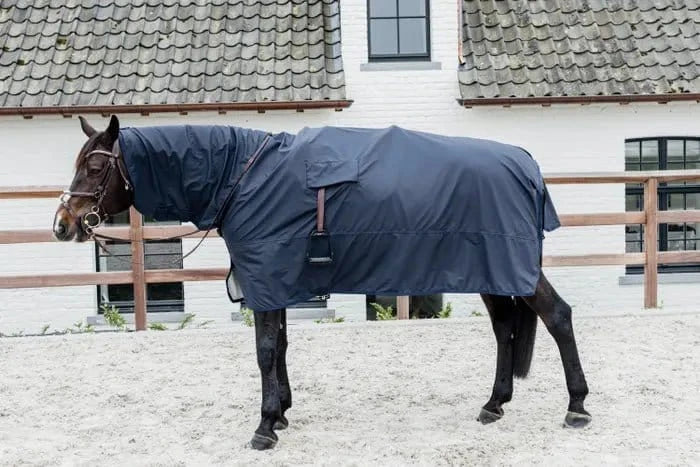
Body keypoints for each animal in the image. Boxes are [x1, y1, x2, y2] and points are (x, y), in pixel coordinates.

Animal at [53, 115, 591, 450]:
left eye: (95, 166)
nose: (62, 224)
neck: (241, 177)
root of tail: (526, 163)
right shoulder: (274, 281)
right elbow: (281, 347)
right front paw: (282, 412)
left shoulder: (266, 278)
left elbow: (265, 350)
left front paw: (265, 426)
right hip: (494, 272)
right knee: (505, 329)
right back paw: (494, 404)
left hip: (510, 268)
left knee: (557, 317)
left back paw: (577, 407)